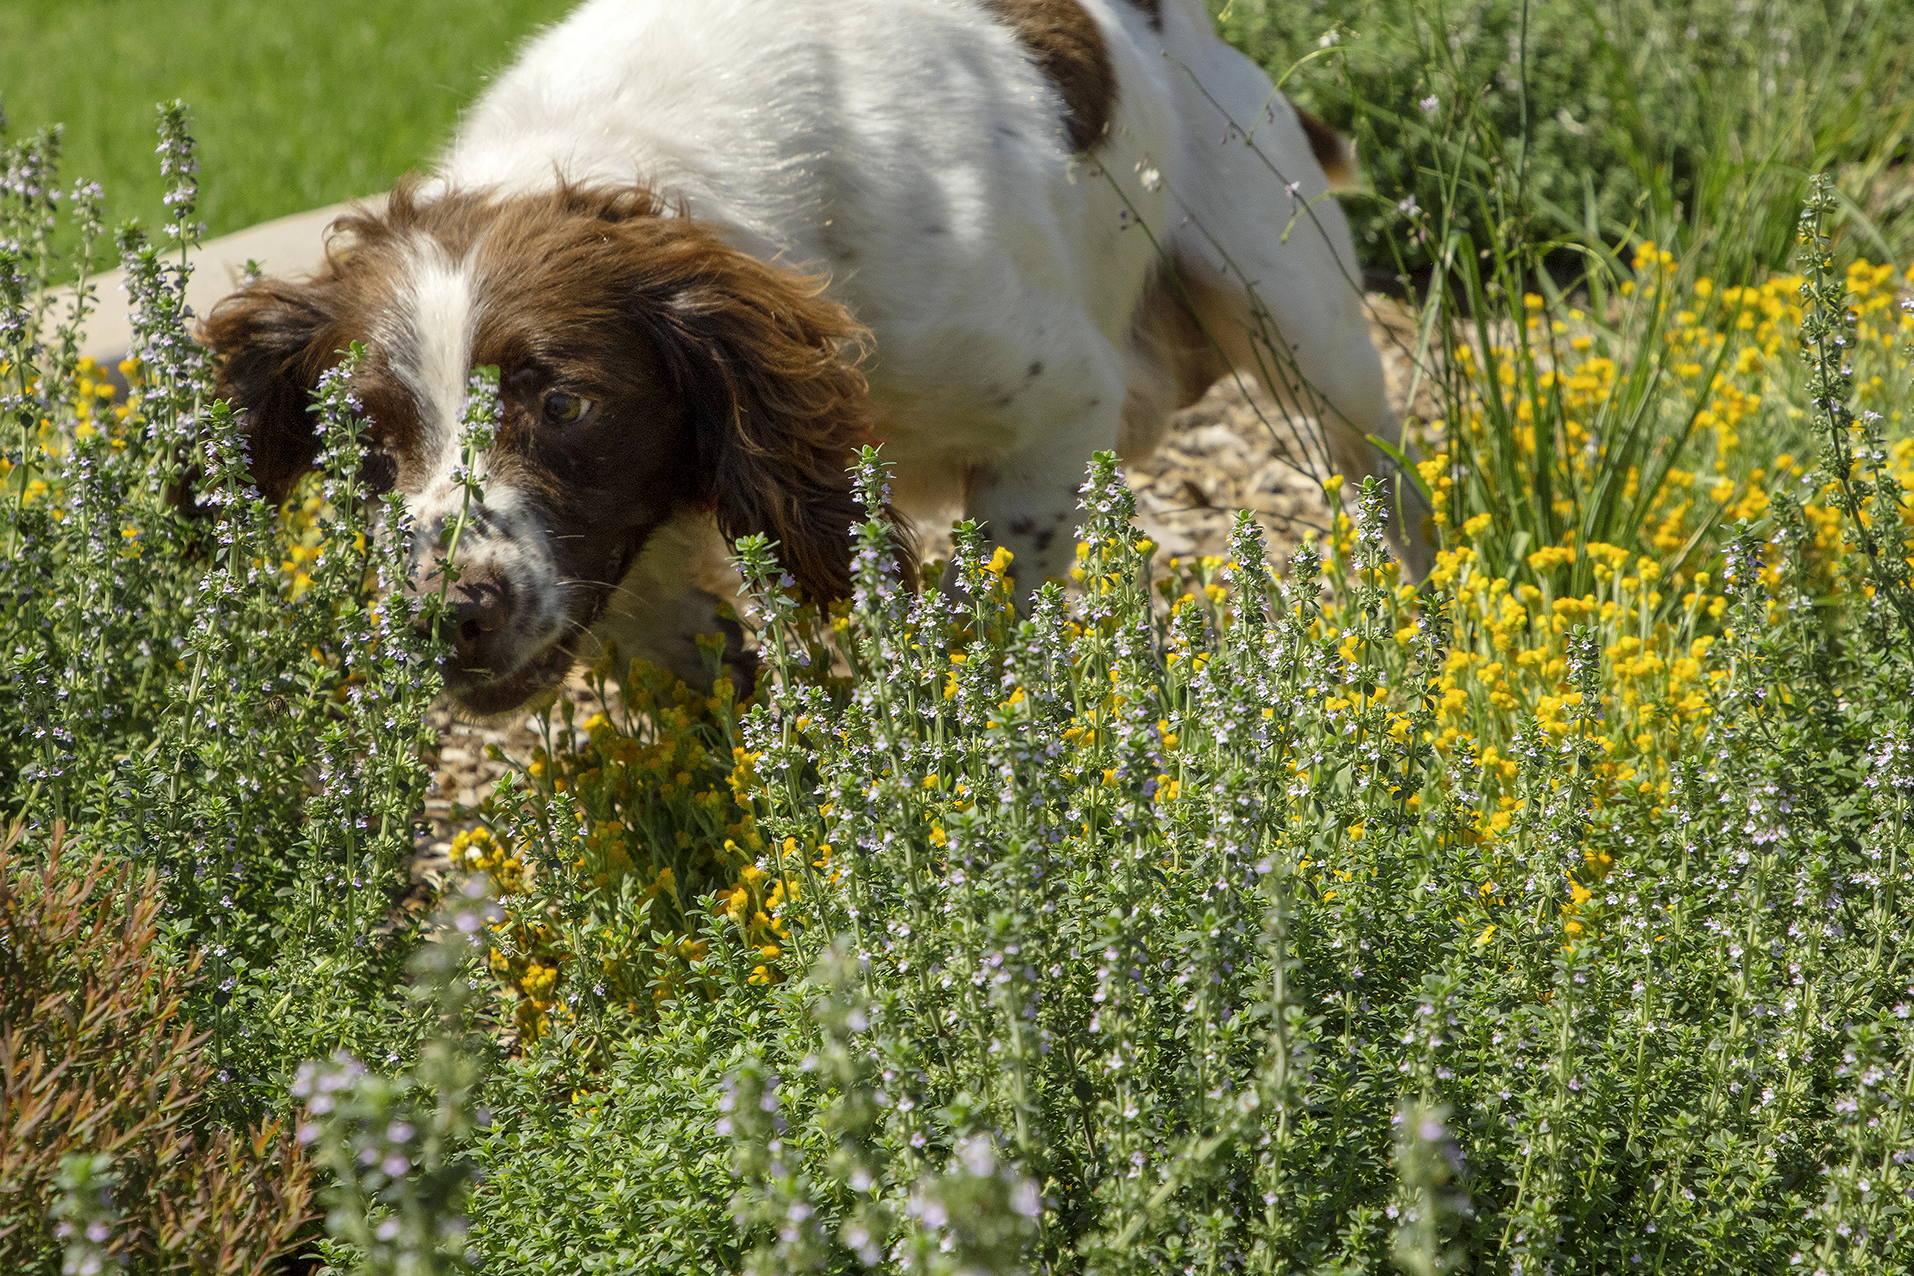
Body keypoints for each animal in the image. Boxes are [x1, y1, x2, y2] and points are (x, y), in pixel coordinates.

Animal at [201, 0, 1431, 719]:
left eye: (563, 405)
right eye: (366, 431)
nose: (444, 618)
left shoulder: (1055, 411)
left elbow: (988, 620)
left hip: (1299, 321)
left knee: (1392, 484)